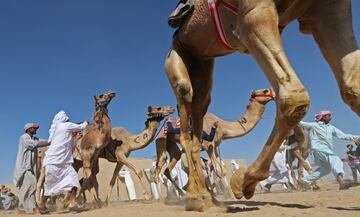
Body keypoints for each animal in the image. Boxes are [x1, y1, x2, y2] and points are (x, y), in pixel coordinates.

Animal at [165, 0, 360, 210]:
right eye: (265, 91)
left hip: (203, 65)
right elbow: (293, 96)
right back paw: (196, 198)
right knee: (185, 114)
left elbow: (353, 88)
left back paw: (206, 197)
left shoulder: (326, 8)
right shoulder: (252, 15)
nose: (270, 94)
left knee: (198, 118)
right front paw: (243, 181)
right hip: (177, 59)